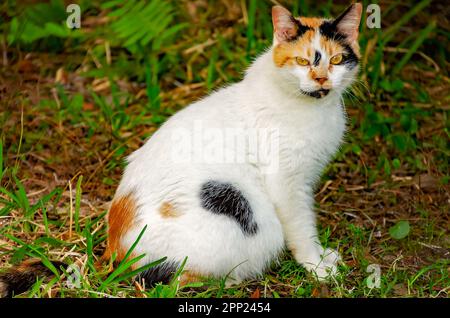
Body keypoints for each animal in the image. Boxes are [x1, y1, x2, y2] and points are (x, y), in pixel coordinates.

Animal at [0, 2, 362, 296]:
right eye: (302, 60)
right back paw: (230, 281)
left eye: (337, 60)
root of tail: (113, 255)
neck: (314, 108)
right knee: (174, 280)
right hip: (245, 217)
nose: (321, 79)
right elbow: (301, 228)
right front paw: (317, 268)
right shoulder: (287, 185)